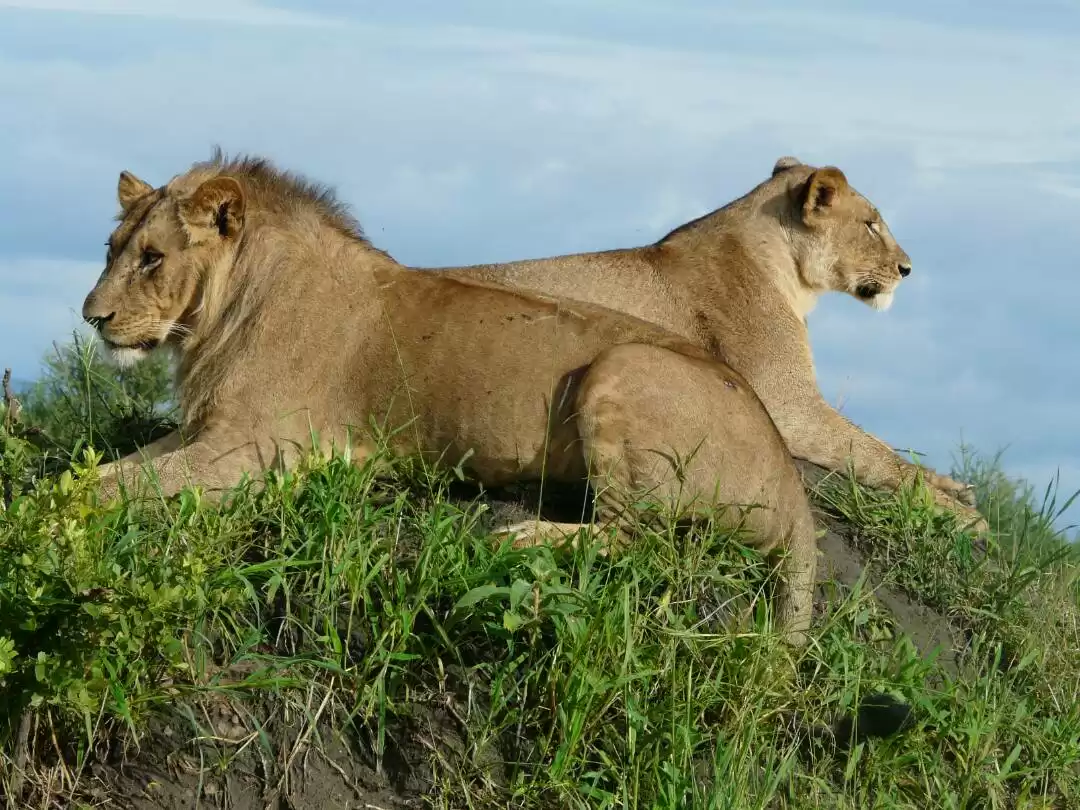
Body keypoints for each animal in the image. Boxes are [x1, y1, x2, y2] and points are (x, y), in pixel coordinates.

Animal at [81, 151, 821, 646]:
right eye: (111, 248)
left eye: (152, 257)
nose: (93, 318)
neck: (221, 309)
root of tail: (789, 480)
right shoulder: (206, 430)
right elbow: (103, 474)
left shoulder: (259, 453)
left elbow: (123, 487)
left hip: (622, 365)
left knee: (638, 538)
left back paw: (524, 535)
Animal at [426, 156, 986, 531]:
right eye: (871, 225)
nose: (907, 269)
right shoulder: (786, 403)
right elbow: (871, 454)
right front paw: (959, 516)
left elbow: (880, 446)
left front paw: (953, 488)